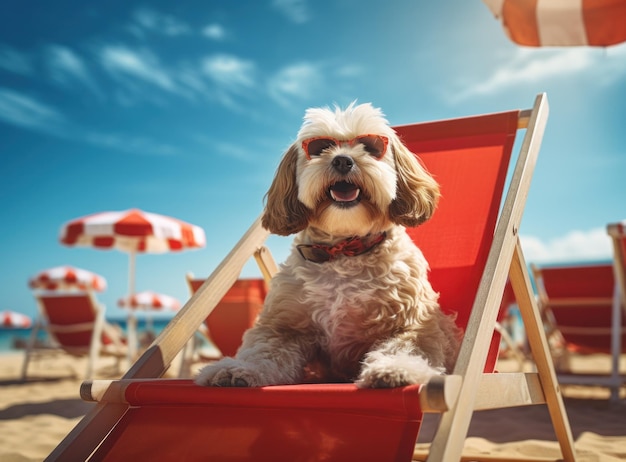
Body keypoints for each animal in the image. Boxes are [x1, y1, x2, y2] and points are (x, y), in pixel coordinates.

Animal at [197, 103, 460, 388]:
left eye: (369, 146)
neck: (342, 250)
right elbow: (263, 351)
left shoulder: (410, 322)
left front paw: (396, 368)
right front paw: (238, 368)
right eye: (320, 147)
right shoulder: (283, 327)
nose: (342, 160)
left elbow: (405, 346)